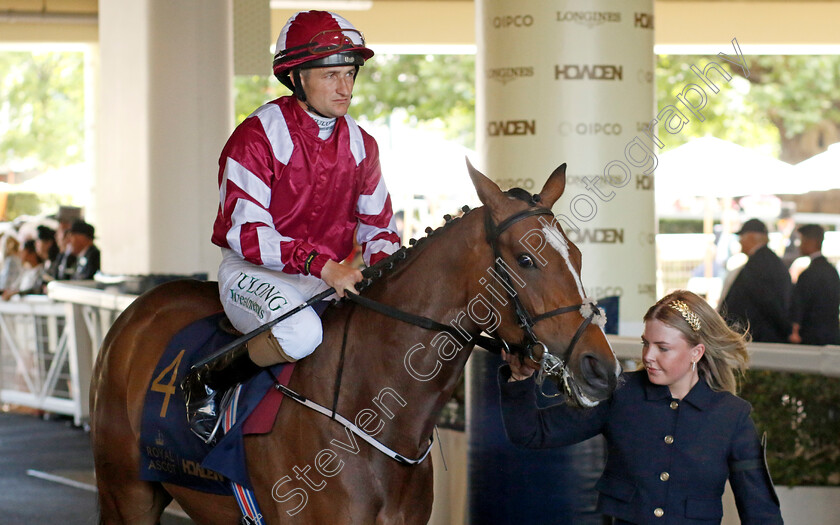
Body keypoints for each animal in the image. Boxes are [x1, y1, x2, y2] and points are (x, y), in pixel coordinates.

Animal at [92, 162, 620, 520]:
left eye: (575, 254)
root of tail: (138, 309)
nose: (601, 367)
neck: (373, 414)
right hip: (126, 493)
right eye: (526, 260)